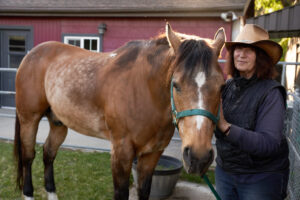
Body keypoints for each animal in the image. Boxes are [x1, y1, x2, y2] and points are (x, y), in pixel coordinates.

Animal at [14, 22, 225, 199]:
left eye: (222, 87)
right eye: (176, 85)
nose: (199, 157)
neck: (144, 91)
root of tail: (31, 54)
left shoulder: (152, 154)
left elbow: (144, 191)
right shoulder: (121, 152)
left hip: (58, 123)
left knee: (48, 153)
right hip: (29, 120)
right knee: (28, 156)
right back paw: (28, 193)